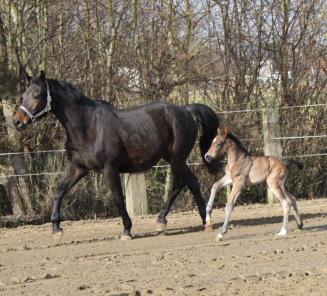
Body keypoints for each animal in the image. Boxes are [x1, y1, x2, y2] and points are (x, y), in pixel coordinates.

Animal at [14, 71, 222, 240]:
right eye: (23, 95)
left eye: (37, 95)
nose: (17, 121)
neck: (88, 128)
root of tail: (185, 110)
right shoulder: (79, 168)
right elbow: (59, 192)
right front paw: (56, 229)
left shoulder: (110, 169)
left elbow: (117, 198)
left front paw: (127, 230)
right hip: (172, 158)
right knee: (189, 182)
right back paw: (192, 220)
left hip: (176, 158)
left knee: (183, 182)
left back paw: (176, 220)